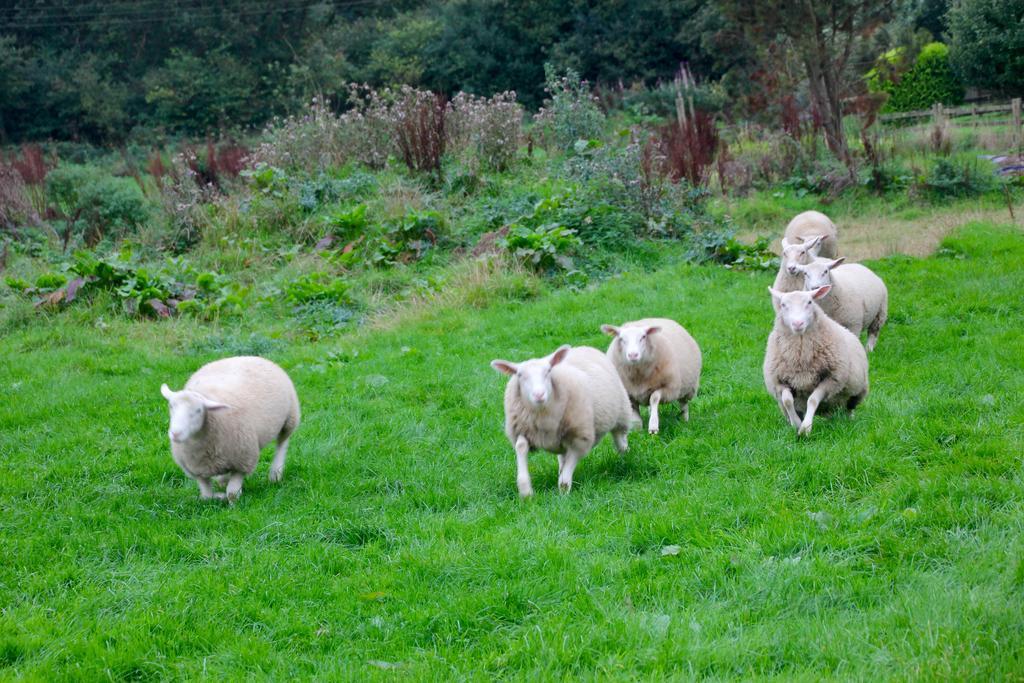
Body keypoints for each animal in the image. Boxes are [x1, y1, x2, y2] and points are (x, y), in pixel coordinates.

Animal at [157, 358, 299, 501]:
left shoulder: (243, 461)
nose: (175, 433)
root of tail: (251, 357)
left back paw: (275, 473)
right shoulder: (196, 470)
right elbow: (207, 495)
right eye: (171, 406)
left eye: (198, 410)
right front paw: (219, 496)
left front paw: (231, 501)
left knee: (282, 443)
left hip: (290, 418)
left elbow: (232, 493)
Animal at [491, 344, 634, 493]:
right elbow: (521, 446)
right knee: (562, 456)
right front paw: (525, 490)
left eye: (548, 371)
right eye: (519, 375)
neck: (542, 415)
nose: (539, 394)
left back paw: (625, 457)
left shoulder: (580, 439)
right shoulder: (523, 430)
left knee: (619, 438)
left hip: (621, 413)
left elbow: (568, 472)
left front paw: (563, 492)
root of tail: (581, 347)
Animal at [765, 284, 868, 438]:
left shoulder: (831, 380)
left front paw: (805, 429)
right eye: (783, 305)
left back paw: (848, 421)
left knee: (849, 408)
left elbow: (812, 400)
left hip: (856, 393)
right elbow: (788, 401)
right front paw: (796, 424)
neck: (800, 355)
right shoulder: (779, 382)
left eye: (810, 302)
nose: (798, 323)